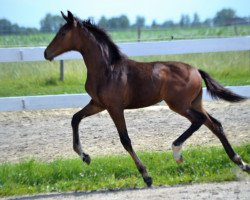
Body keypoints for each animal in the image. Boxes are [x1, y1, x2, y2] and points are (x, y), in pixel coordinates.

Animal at [44, 10, 249, 186]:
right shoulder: (98, 104)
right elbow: (75, 118)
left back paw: (177, 152)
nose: (46, 53)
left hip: (179, 104)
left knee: (199, 121)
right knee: (215, 124)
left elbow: (125, 140)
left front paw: (146, 176)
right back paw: (241, 163)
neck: (107, 70)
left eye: (63, 33)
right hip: (194, 103)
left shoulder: (115, 107)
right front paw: (85, 156)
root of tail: (196, 71)